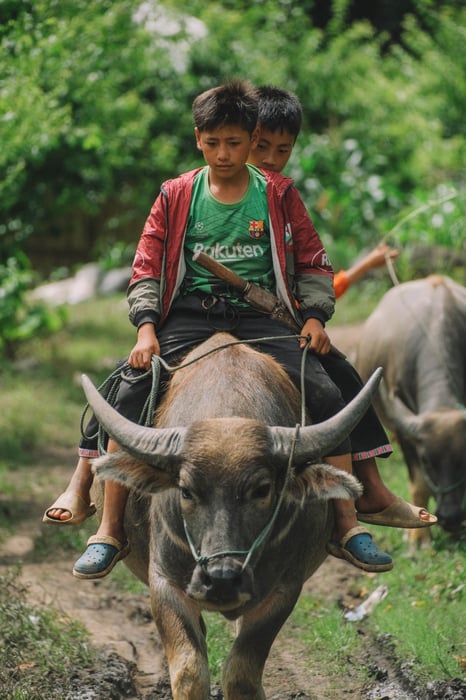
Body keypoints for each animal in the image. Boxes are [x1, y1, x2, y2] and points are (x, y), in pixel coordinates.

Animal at [83, 334, 382, 700]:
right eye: (186, 491)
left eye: (262, 489)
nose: (222, 578)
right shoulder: (163, 581)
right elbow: (189, 671)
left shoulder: (285, 588)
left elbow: (242, 673)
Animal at [354, 274, 464, 540]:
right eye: (426, 460)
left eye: (464, 458)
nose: (451, 517)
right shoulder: (405, 434)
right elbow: (420, 484)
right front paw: (419, 540)